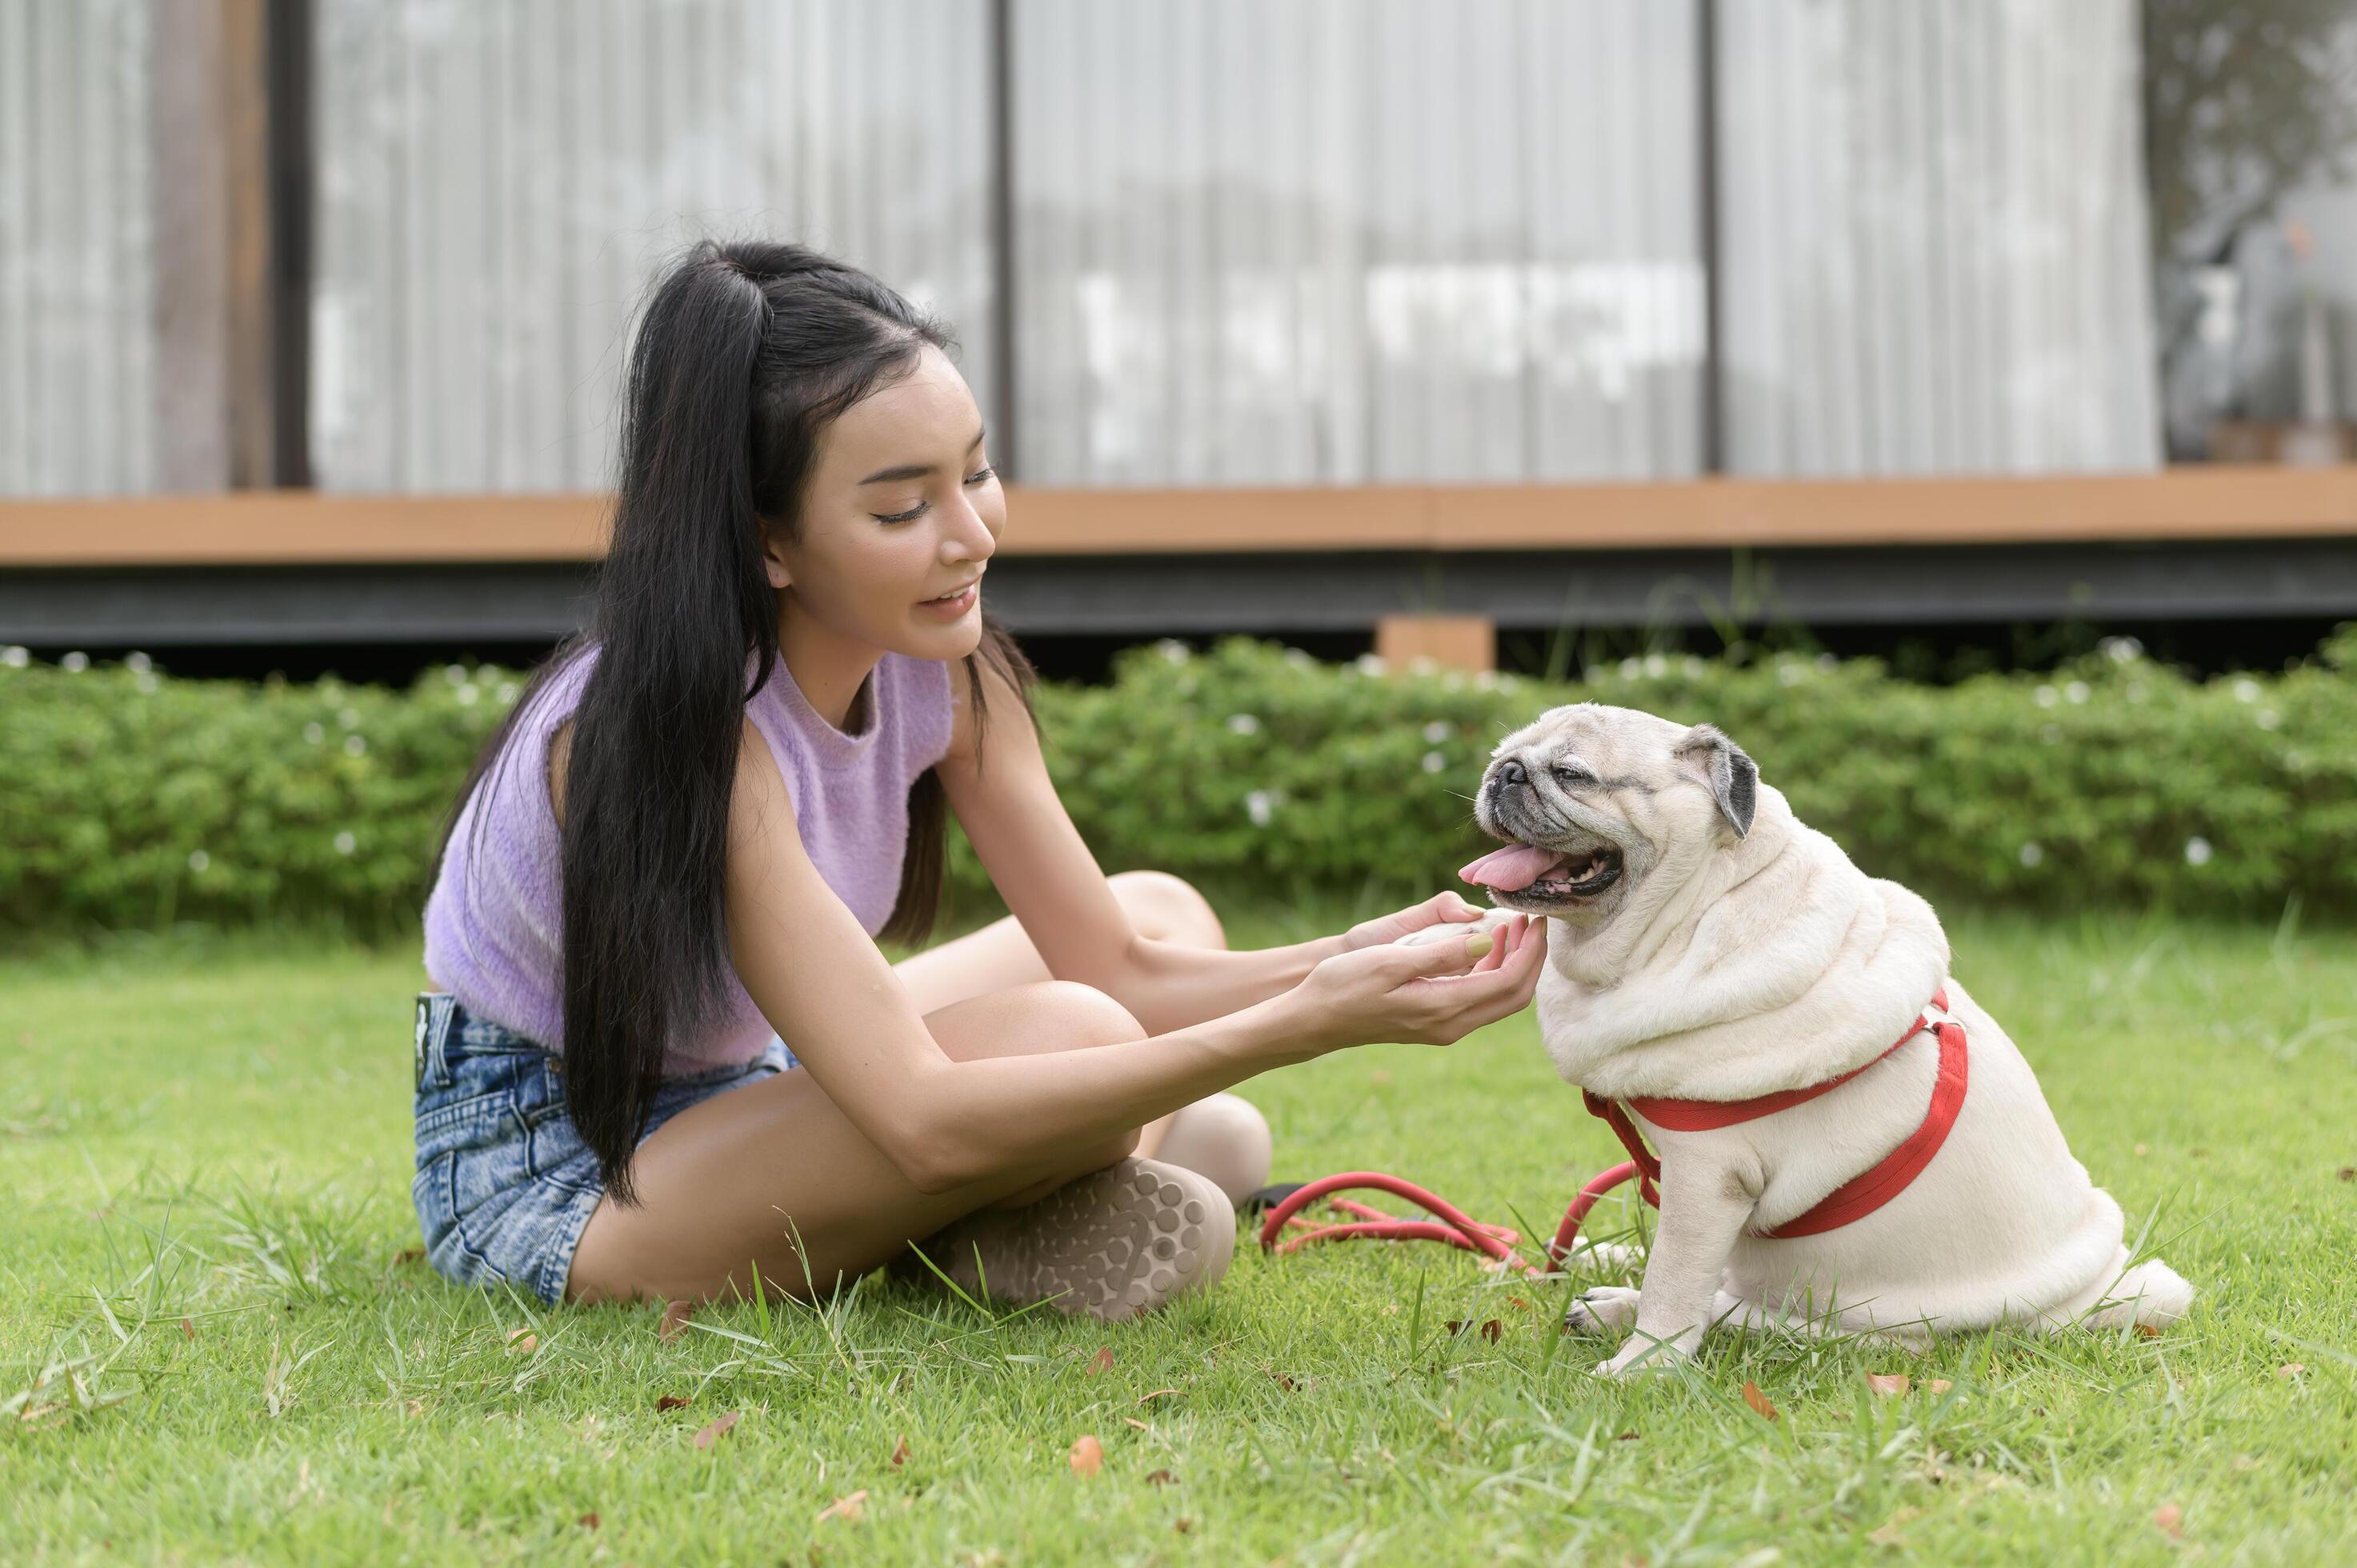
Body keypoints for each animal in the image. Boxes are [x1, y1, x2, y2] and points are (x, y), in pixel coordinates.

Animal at [1395, 698, 2187, 1367]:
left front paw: (1640, 1371)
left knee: (1736, 1310)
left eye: (1570, 775)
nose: (1504, 773)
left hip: (1859, 1321)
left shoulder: (1708, 1177)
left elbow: (1675, 1288)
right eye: (1505, 756)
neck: (1692, 909)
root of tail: (2085, 1295)